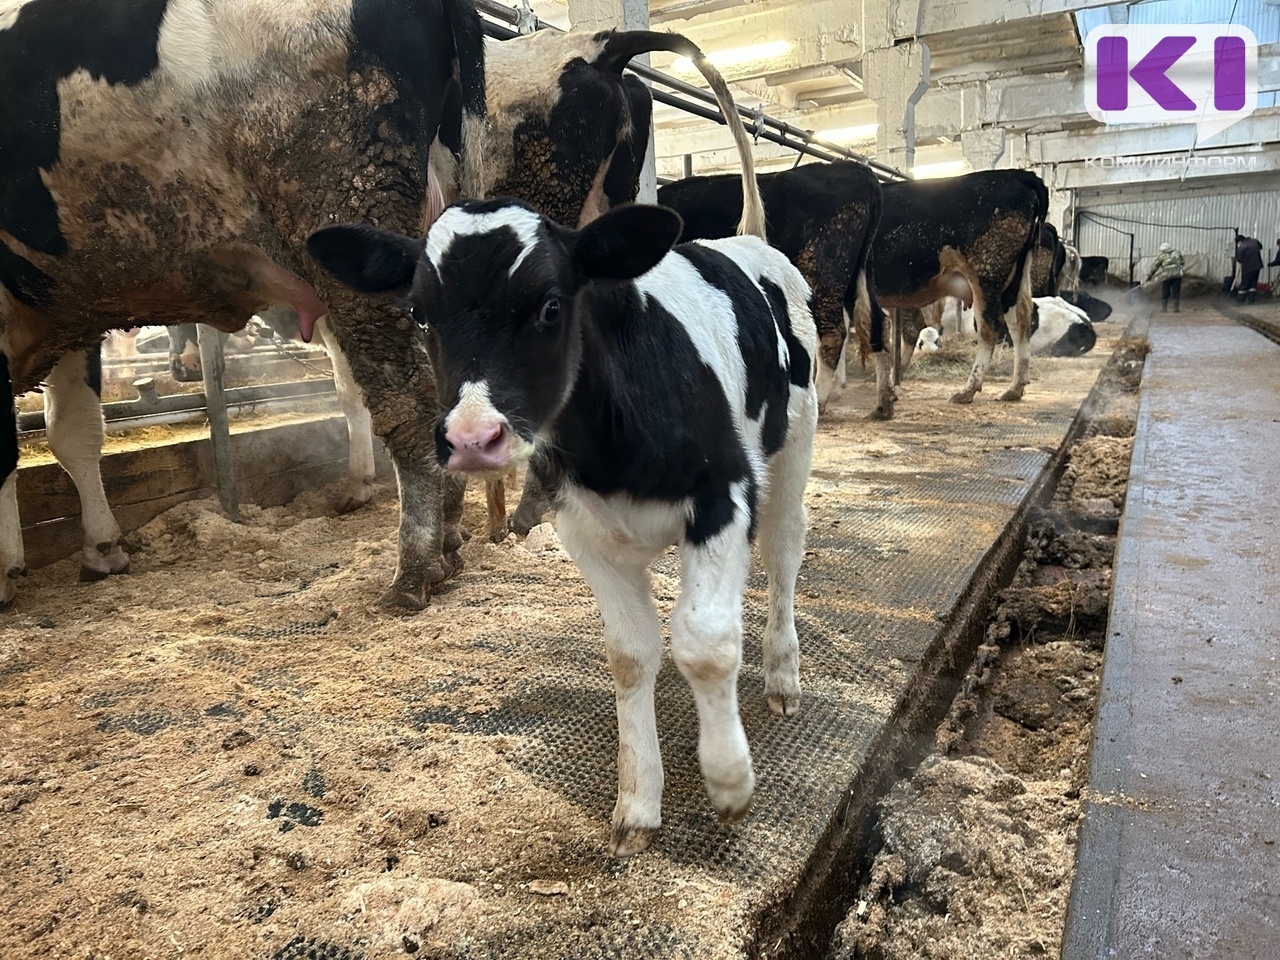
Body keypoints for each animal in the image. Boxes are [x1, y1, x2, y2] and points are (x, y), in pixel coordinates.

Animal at [308, 198, 818, 857]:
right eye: (420, 314)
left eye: (552, 305)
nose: (472, 438)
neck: (613, 448)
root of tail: (746, 240)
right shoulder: (584, 531)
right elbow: (631, 655)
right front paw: (638, 801)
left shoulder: (724, 495)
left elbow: (705, 644)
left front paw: (729, 780)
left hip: (795, 441)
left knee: (783, 551)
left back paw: (782, 675)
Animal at [656, 159, 882, 412]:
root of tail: (856, 168)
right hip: (858, 274)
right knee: (873, 322)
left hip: (824, 271)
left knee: (833, 333)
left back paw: (821, 399)